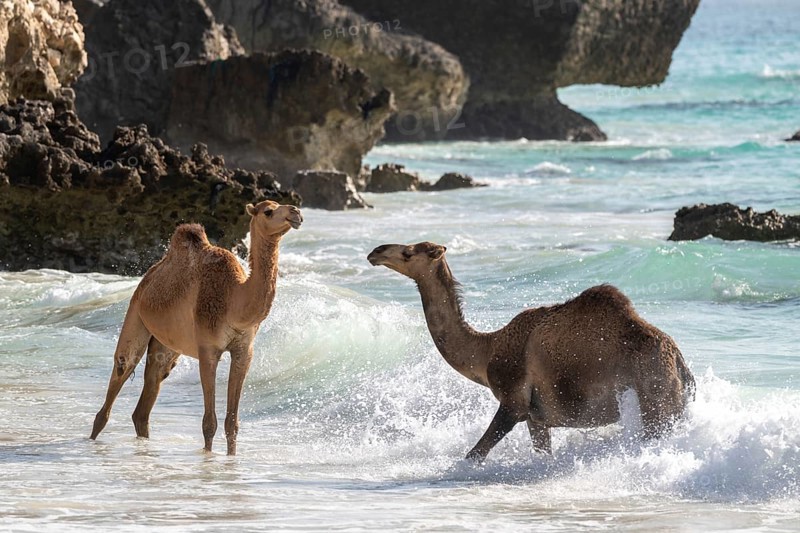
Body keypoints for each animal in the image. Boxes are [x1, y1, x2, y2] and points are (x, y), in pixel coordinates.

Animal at [90, 200, 303, 455]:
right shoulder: (208, 349)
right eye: (268, 211)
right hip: (135, 316)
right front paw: (208, 457)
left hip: (166, 346)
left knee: (148, 395)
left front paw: (231, 457)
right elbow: (209, 423)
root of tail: (149, 276)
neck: (234, 300)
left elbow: (232, 423)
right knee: (120, 372)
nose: (295, 212)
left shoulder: (244, 351)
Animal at [367, 242, 695, 461]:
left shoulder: (513, 402)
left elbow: (475, 453)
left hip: (654, 399)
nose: (376, 251)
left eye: (409, 252)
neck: (488, 349)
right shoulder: (537, 418)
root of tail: (682, 367)